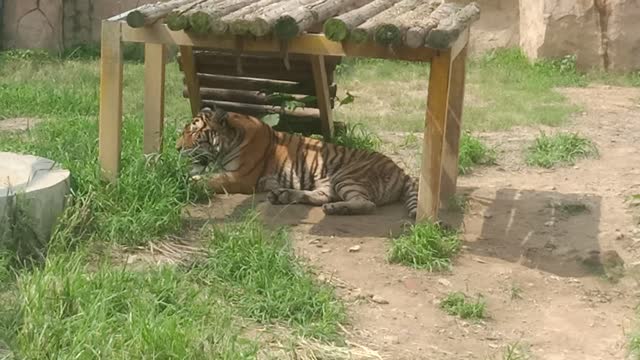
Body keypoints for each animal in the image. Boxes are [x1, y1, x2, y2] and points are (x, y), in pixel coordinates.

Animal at [175, 106, 420, 219]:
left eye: (194, 133)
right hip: (329, 183)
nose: (176, 148)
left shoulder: (240, 178)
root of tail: (401, 171)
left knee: (367, 204)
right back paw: (283, 195)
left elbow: (209, 180)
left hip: (348, 176)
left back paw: (336, 208)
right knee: (319, 197)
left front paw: (185, 181)